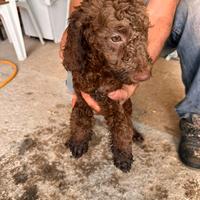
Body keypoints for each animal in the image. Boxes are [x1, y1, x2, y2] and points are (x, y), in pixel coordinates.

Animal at [63, 0, 151, 172]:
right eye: (116, 38)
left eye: (145, 33)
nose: (145, 75)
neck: (99, 69)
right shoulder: (81, 97)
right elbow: (80, 119)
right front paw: (78, 140)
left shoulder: (116, 101)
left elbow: (122, 128)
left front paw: (123, 154)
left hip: (128, 103)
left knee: (129, 119)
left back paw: (135, 134)